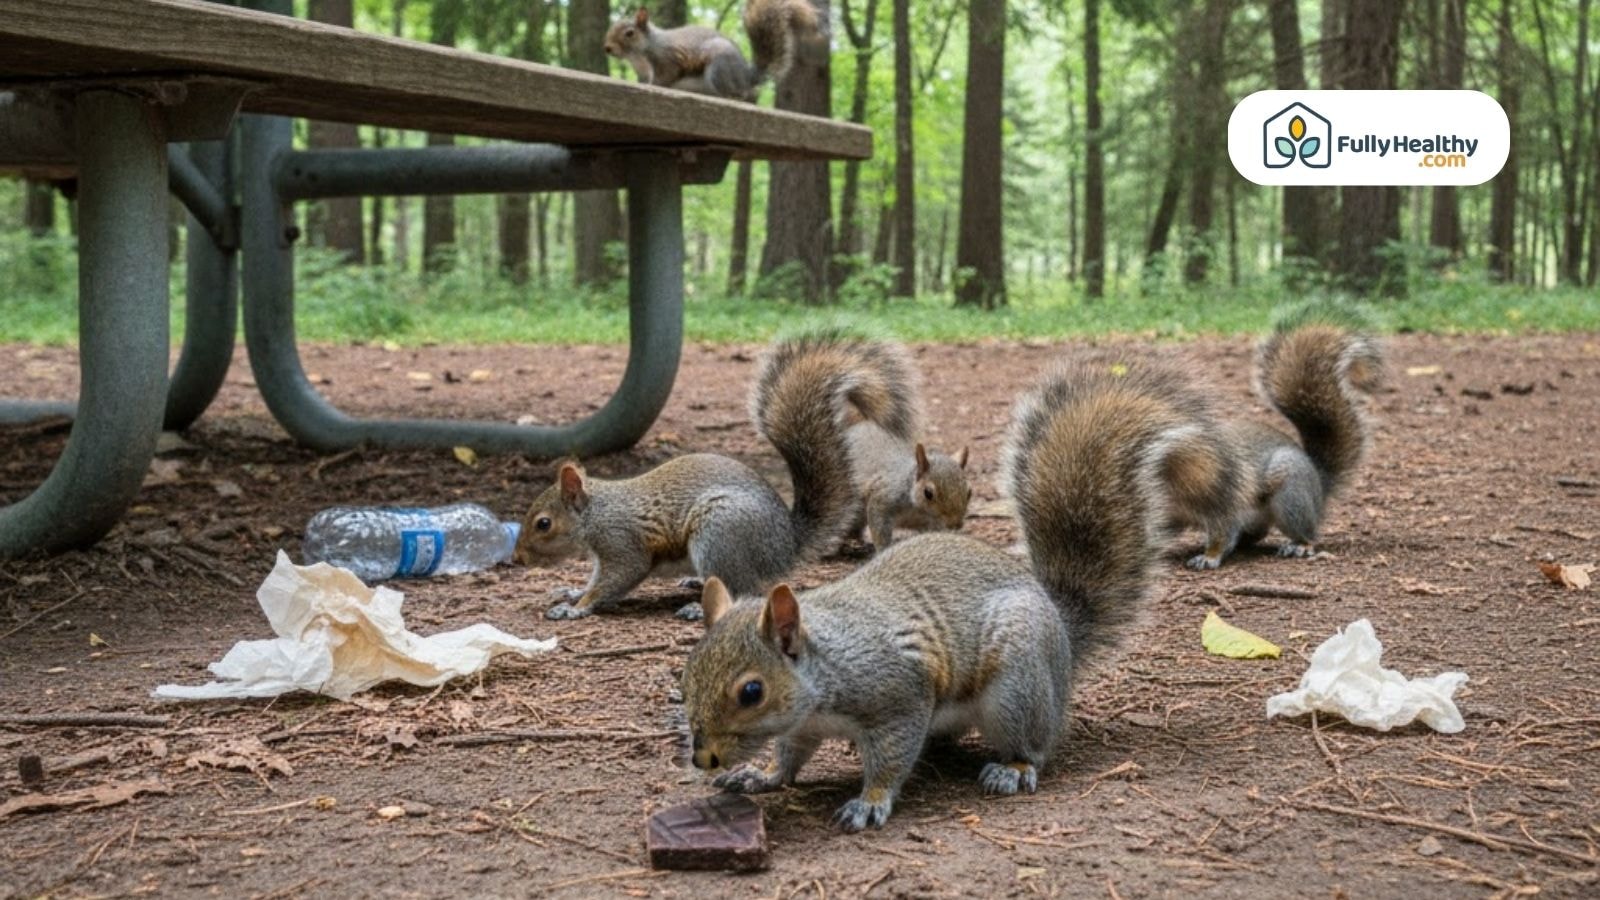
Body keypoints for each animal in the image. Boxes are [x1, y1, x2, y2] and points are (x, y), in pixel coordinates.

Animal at [514, 329, 908, 621]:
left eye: (543, 524)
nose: (518, 560)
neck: (598, 510)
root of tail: (785, 546)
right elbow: (595, 578)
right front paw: (573, 591)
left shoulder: (623, 543)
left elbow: (617, 578)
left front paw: (576, 608)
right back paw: (693, 583)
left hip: (719, 532)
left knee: (743, 587)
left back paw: (693, 606)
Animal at [602, 0, 821, 101]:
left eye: (629, 33)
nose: (607, 48)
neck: (639, 54)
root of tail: (746, 76)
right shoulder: (641, 71)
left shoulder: (667, 60)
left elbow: (664, 77)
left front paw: (654, 86)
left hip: (718, 68)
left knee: (739, 94)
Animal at [680, 360, 1222, 832]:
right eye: (686, 676)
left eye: (752, 692)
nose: (703, 757)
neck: (828, 663)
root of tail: (1061, 634)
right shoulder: (803, 727)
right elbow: (788, 759)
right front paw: (761, 775)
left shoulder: (900, 697)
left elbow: (891, 758)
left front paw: (870, 801)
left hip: (1017, 689)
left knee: (1036, 744)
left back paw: (1013, 769)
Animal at [764, 330, 972, 552]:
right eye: (928, 493)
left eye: (969, 492)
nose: (956, 524)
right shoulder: (882, 498)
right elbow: (879, 527)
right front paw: (883, 548)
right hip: (852, 508)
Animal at [1182, 308, 1384, 569]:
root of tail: (1318, 486)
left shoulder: (1224, 496)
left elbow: (1222, 530)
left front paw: (1209, 557)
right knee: (1256, 534)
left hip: (1291, 497)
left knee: (1306, 534)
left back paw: (1299, 546)